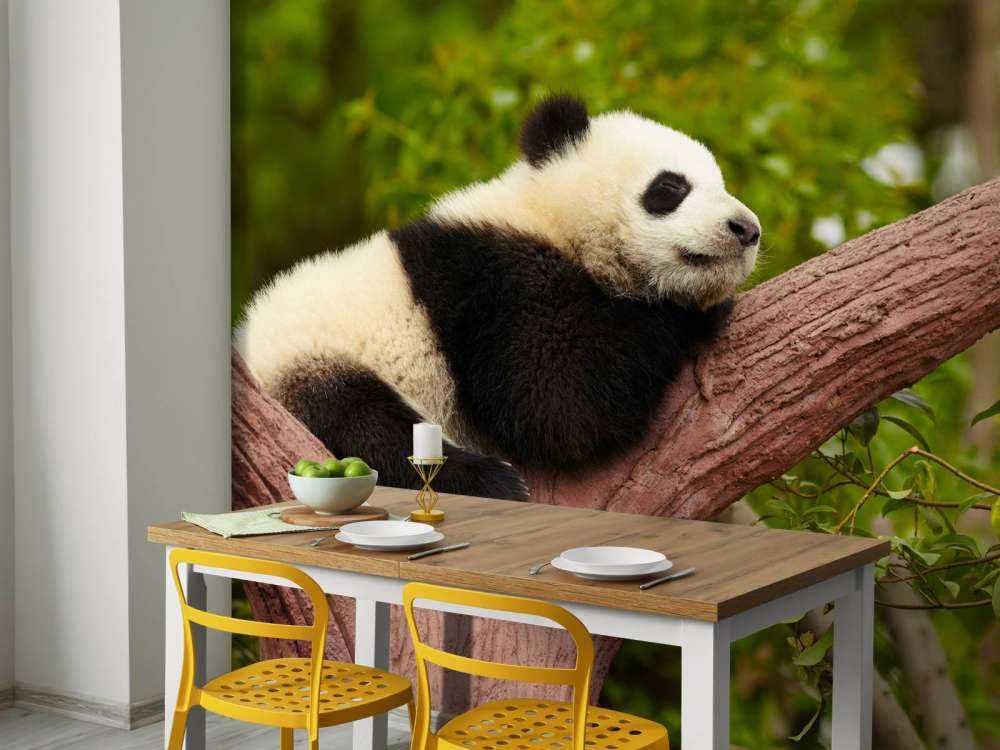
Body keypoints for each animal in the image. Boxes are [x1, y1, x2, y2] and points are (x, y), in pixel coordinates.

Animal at [240, 94, 760, 500]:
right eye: (670, 188)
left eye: (722, 184)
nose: (746, 229)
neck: (549, 216)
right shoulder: (493, 280)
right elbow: (558, 404)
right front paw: (693, 312)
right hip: (306, 363)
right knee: (361, 424)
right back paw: (487, 480)